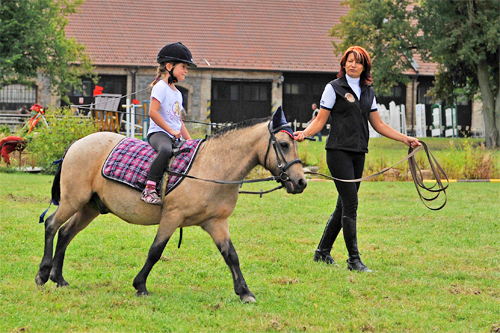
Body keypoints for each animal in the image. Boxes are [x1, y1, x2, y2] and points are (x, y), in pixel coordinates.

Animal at [35, 107, 306, 302]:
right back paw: (43, 274)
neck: (212, 166)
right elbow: (155, 251)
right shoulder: (172, 217)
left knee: (65, 232)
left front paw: (244, 292)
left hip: (89, 207)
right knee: (51, 225)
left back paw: (59, 279)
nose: (301, 182)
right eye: (284, 145)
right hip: (73, 200)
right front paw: (140, 285)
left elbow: (231, 255)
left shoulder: (216, 222)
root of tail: (77, 143)